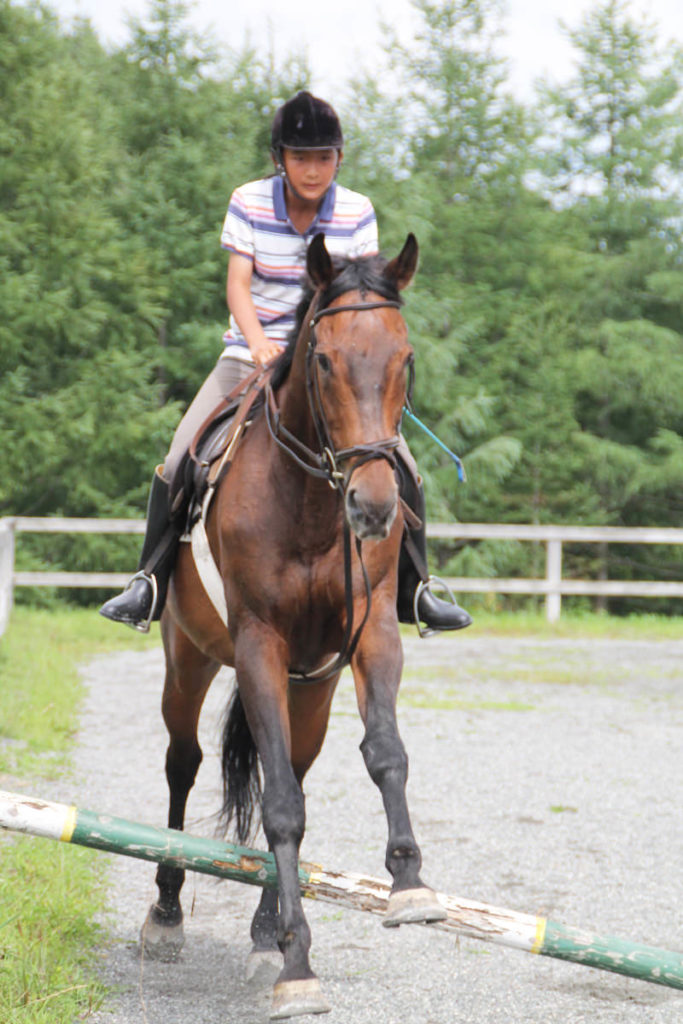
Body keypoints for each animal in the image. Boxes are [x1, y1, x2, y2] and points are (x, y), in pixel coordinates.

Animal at [141, 232, 446, 1015]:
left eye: (405, 358)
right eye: (323, 360)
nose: (373, 508)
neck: (310, 501)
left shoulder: (371, 636)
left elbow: (384, 754)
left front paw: (409, 885)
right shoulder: (258, 645)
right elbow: (277, 804)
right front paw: (297, 967)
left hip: (311, 686)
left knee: (299, 771)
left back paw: (260, 933)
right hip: (189, 658)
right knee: (183, 764)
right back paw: (166, 913)